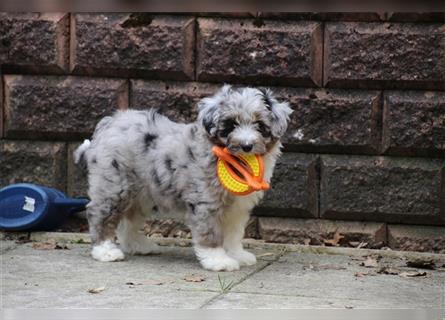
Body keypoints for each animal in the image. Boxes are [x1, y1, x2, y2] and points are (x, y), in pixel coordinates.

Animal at [74, 85, 292, 270]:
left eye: (260, 125)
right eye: (230, 125)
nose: (247, 146)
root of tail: (108, 125)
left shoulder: (237, 208)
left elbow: (233, 233)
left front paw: (237, 254)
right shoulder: (205, 202)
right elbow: (209, 232)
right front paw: (218, 260)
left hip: (141, 193)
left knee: (129, 220)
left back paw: (138, 245)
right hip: (114, 184)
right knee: (99, 213)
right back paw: (105, 251)